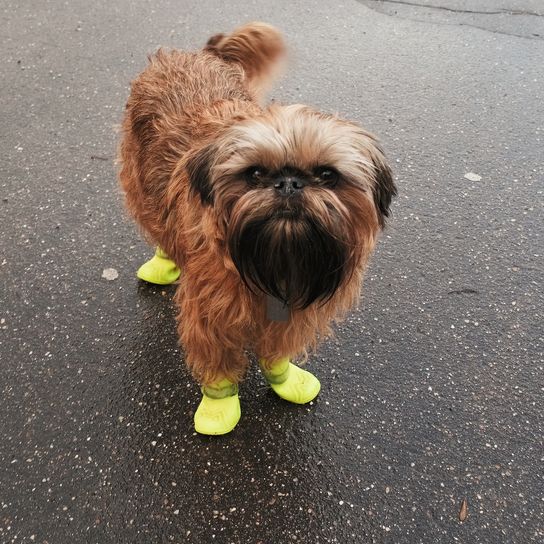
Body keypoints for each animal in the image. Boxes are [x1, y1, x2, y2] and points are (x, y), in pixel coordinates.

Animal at [118, 23, 396, 436]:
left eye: (327, 175)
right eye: (255, 174)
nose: (289, 183)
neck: (272, 258)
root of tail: (198, 55)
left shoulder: (291, 313)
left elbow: (276, 351)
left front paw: (285, 380)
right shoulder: (210, 313)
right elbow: (217, 364)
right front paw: (219, 408)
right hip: (142, 182)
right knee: (159, 224)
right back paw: (163, 262)